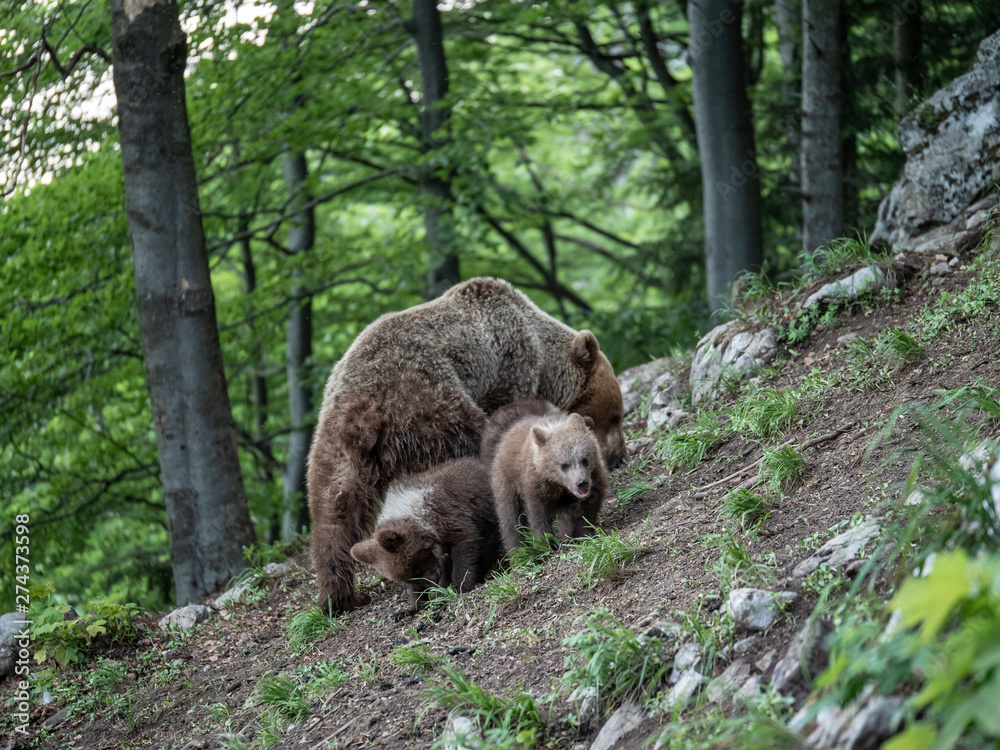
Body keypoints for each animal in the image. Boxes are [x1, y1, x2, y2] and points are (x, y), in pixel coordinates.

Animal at [350, 458, 501, 620]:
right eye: (408, 577)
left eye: (417, 571)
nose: (430, 583)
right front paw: (409, 609)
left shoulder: (448, 517)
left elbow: (465, 545)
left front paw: (460, 586)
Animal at [490, 411, 609, 553]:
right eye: (564, 465)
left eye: (584, 460)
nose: (581, 483)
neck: (558, 484)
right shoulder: (536, 484)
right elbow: (538, 514)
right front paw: (548, 542)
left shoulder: (594, 477)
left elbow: (588, 507)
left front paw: (584, 533)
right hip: (506, 481)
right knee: (509, 516)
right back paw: (518, 549)